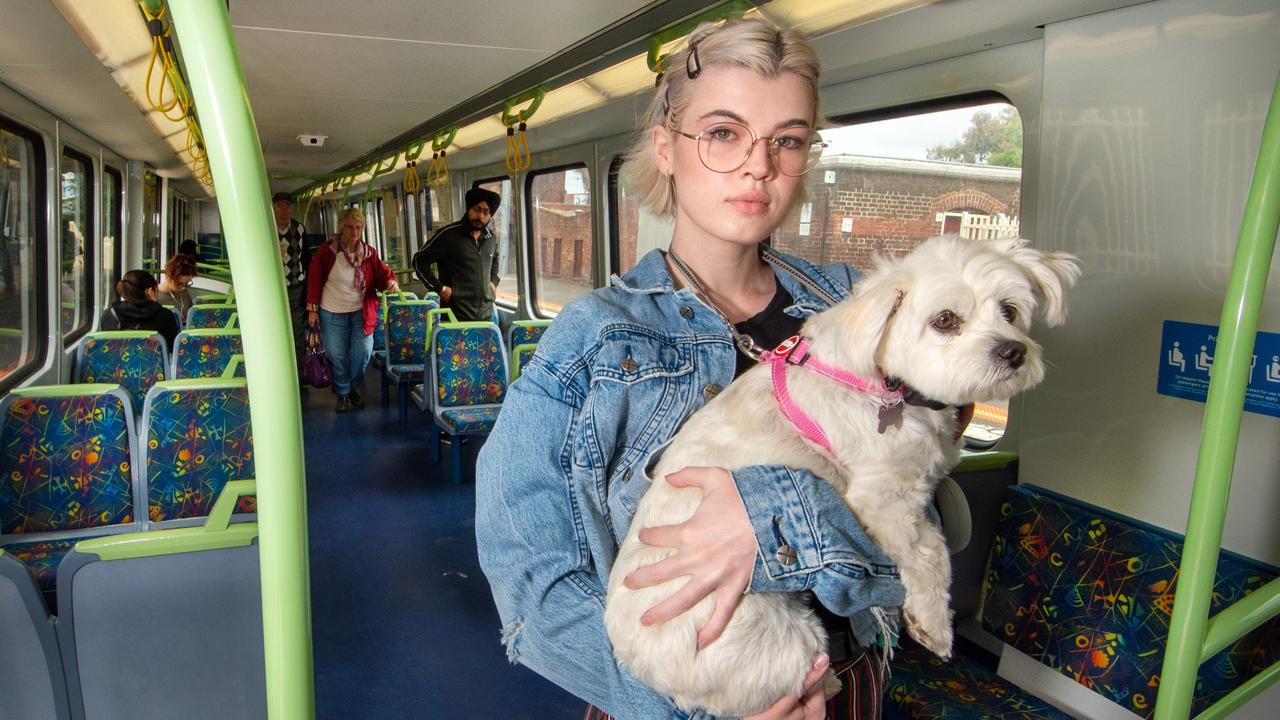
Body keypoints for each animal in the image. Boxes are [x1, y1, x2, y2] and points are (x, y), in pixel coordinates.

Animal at [601, 234, 1080, 712]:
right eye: (945, 320)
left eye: (1010, 311)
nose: (1013, 351)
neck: (884, 386)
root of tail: (645, 671)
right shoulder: (882, 498)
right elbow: (930, 554)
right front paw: (933, 623)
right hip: (777, 640)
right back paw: (827, 682)